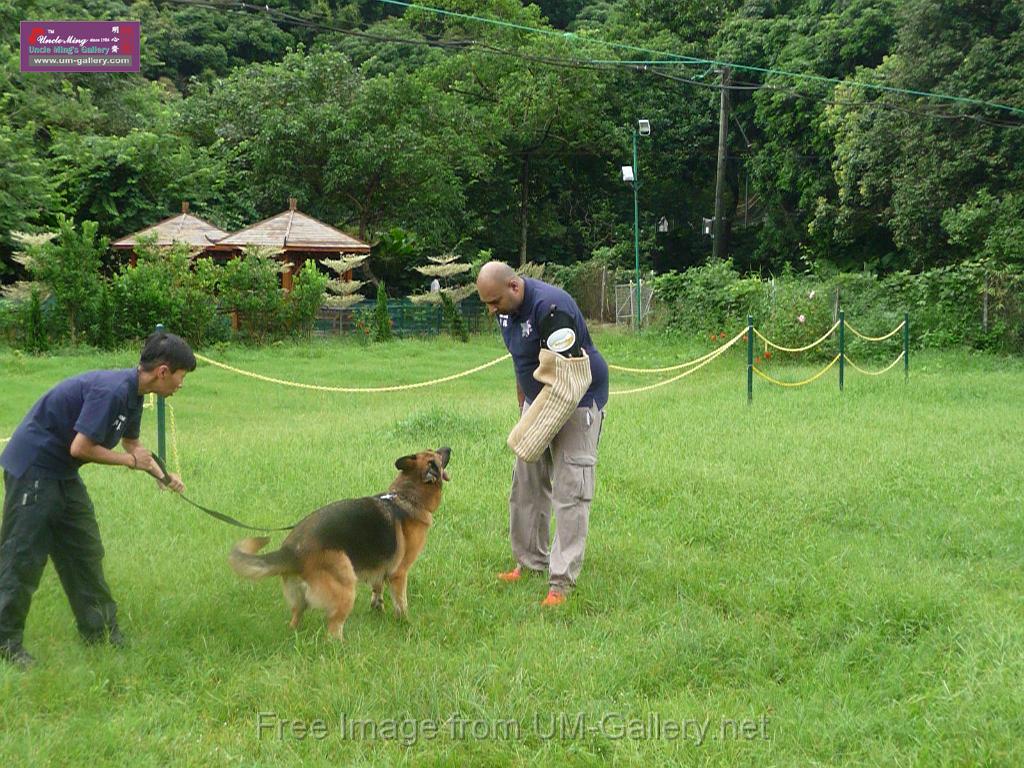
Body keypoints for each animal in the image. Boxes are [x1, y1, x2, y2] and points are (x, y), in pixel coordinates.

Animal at [230, 448, 450, 638]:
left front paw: (377, 607)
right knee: (333, 632)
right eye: (437, 455)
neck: (407, 495)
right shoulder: (399, 574)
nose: (448, 448)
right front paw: (405, 623)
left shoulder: (379, 567)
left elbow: (377, 588)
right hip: (345, 583)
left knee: (295, 620)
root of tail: (290, 550)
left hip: (299, 601)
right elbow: (401, 604)